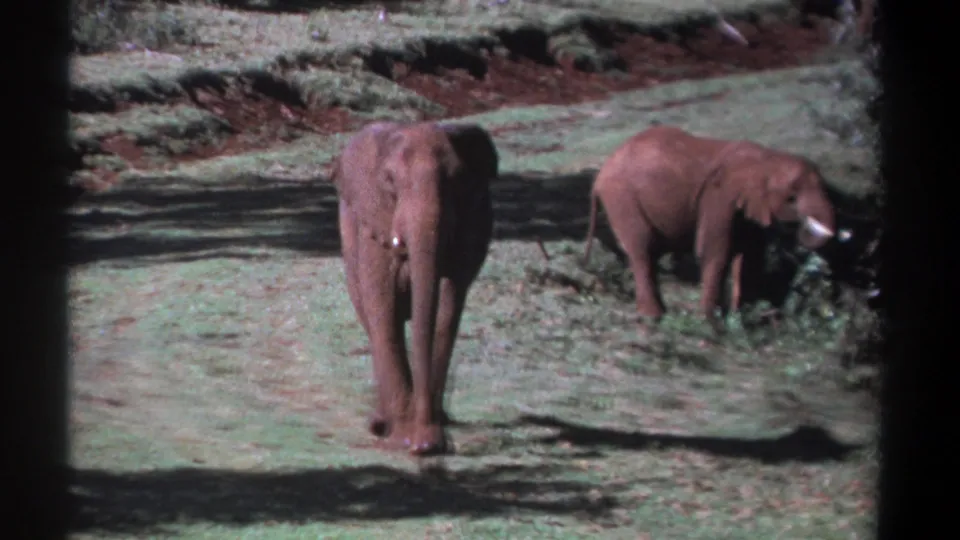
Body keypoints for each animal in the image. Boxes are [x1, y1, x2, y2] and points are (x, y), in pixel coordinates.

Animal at [331, 120, 497, 455]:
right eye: (390, 181)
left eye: (457, 179)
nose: (426, 445)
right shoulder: (373, 229)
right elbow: (382, 305)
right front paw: (401, 436)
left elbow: (448, 306)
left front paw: (429, 436)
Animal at [583, 125, 838, 330]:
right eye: (792, 198)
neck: (766, 159)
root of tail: (599, 176)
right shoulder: (719, 197)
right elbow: (715, 250)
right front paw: (712, 323)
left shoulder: (746, 207)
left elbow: (750, 255)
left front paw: (741, 319)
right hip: (622, 198)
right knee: (642, 249)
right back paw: (653, 316)